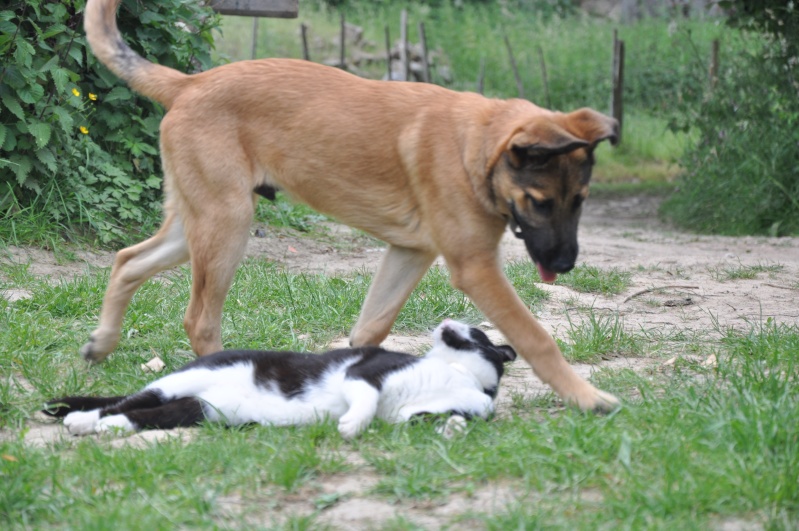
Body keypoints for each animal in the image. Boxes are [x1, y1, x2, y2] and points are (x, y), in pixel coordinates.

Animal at [45, 320, 520, 440]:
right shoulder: (364, 371)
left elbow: (445, 418)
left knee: (139, 416)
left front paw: (452, 428)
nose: (445, 320)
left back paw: (106, 427)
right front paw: (352, 424)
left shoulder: (414, 414)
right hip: (180, 383)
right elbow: (365, 397)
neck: (457, 378)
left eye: (475, 331)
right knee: (122, 401)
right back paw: (80, 419)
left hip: (197, 411)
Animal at [81, 0, 620, 412]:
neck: (478, 146)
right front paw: (587, 397)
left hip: (196, 223)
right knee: (198, 318)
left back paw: (102, 343)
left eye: (580, 201)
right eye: (541, 202)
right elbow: (535, 336)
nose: (565, 265)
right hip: (226, 224)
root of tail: (189, 83)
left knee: (128, 260)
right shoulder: (475, 267)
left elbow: (371, 328)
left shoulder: (409, 254)